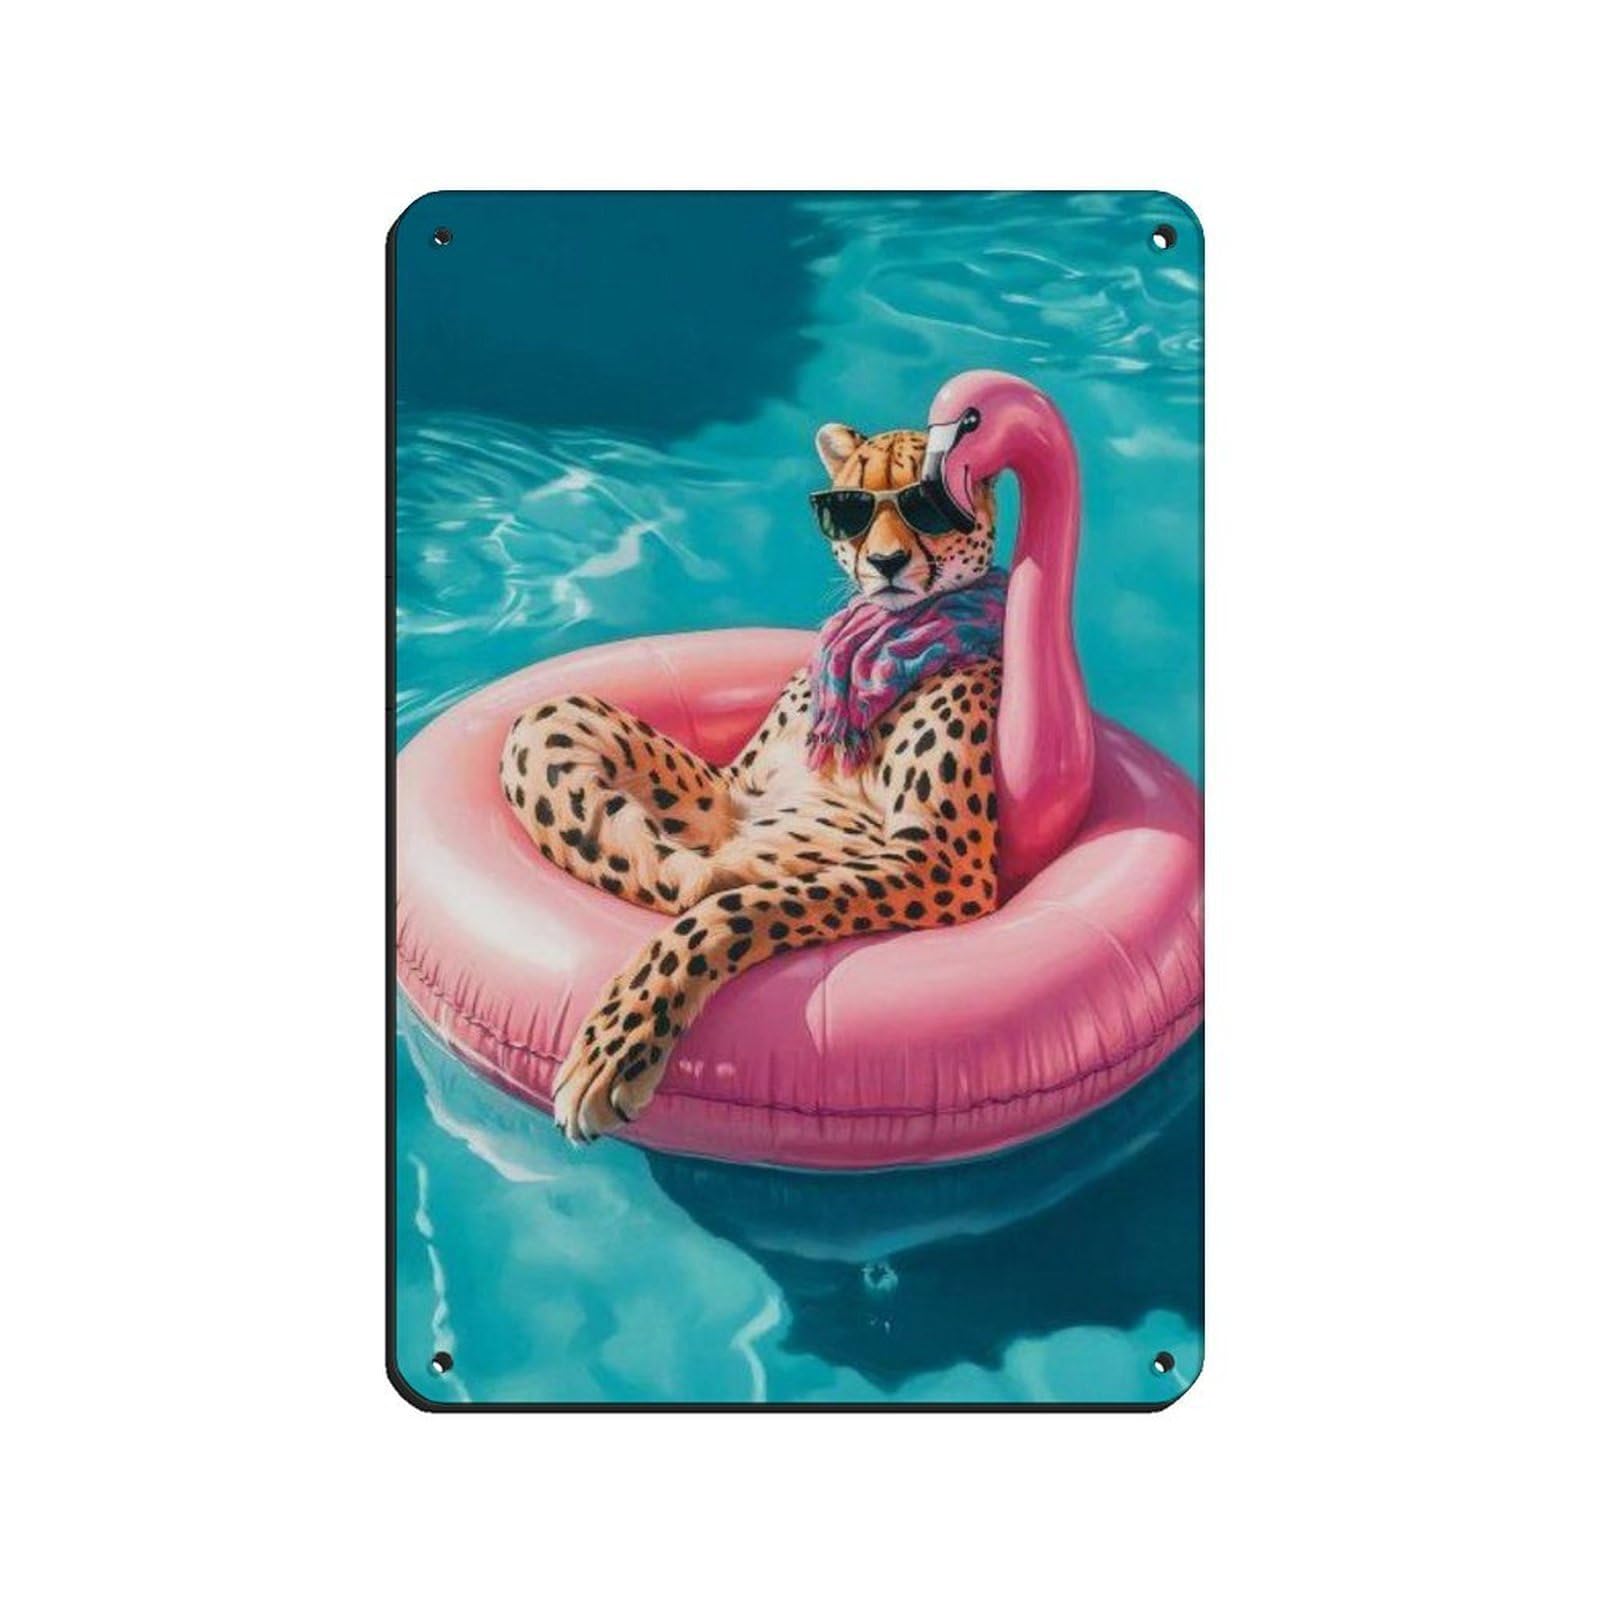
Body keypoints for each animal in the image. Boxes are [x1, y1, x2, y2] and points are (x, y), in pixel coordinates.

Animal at [500, 421, 1003, 1143]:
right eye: (851, 507)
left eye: (925, 505)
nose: (885, 563)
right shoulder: (734, 800)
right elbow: (545, 722)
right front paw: (677, 869)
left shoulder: (945, 864)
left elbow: (733, 907)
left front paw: (616, 1047)